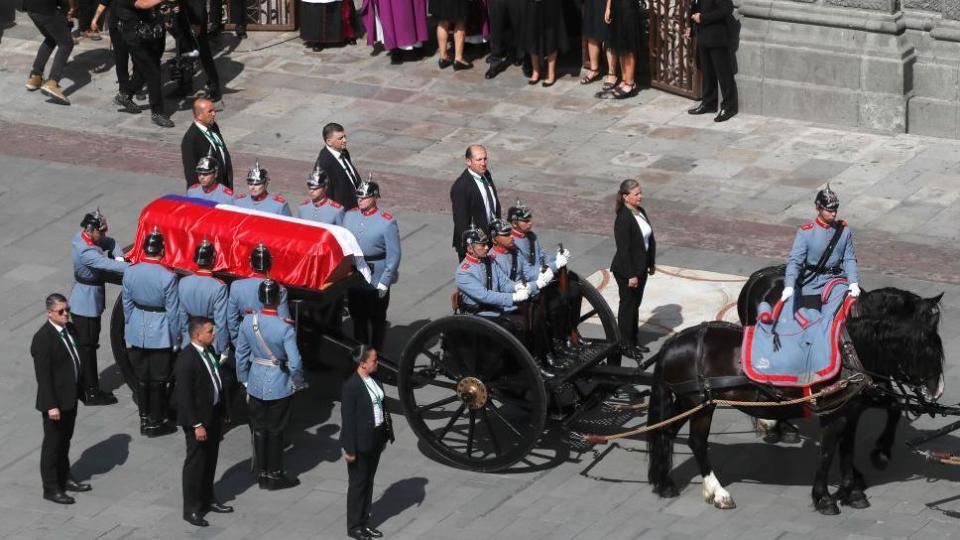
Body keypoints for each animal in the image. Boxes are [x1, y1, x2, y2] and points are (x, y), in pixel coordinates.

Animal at [644, 282, 944, 516]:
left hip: (686, 402)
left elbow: (849, 448)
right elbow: (828, 452)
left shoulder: (851, 408)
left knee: (666, 432)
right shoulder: (833, 413)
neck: (846, 351)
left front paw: (852, 489)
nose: (937, 391)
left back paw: (664, 482)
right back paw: (718, 492)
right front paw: (824, 497)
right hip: (700, 404)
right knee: (696, 442)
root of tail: (674, 341)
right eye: (928, 351)